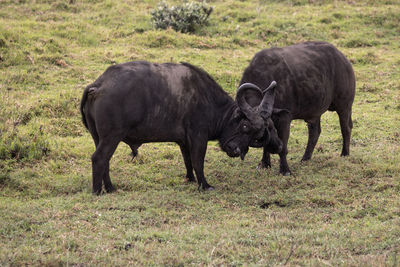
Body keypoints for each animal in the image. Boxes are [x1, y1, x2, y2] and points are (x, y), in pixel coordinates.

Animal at [79, 60, 280, 195]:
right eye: (244, 125)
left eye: (256, 136)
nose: (235, 150)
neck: (208, 101)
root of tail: (98, 85)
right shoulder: (198, 137)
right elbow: (198, 161)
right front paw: (204, 185)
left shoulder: (183, 141)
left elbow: (187, 160)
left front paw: (190, 179)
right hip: (112, 136)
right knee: (99, 158)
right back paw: (98, 190)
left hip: (98, 137)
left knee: (104, 160)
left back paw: (110, 187)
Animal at [241, 41, 356, 176]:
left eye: (269, 127)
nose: (276, 147)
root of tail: (343, 59)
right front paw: (265, 163)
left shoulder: (284, 118)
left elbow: (284, 147)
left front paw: (285, 170)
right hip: (315, 111)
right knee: (315, 132)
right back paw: (305, 158)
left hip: (344, 106)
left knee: (346, 128)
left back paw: (344, 153)